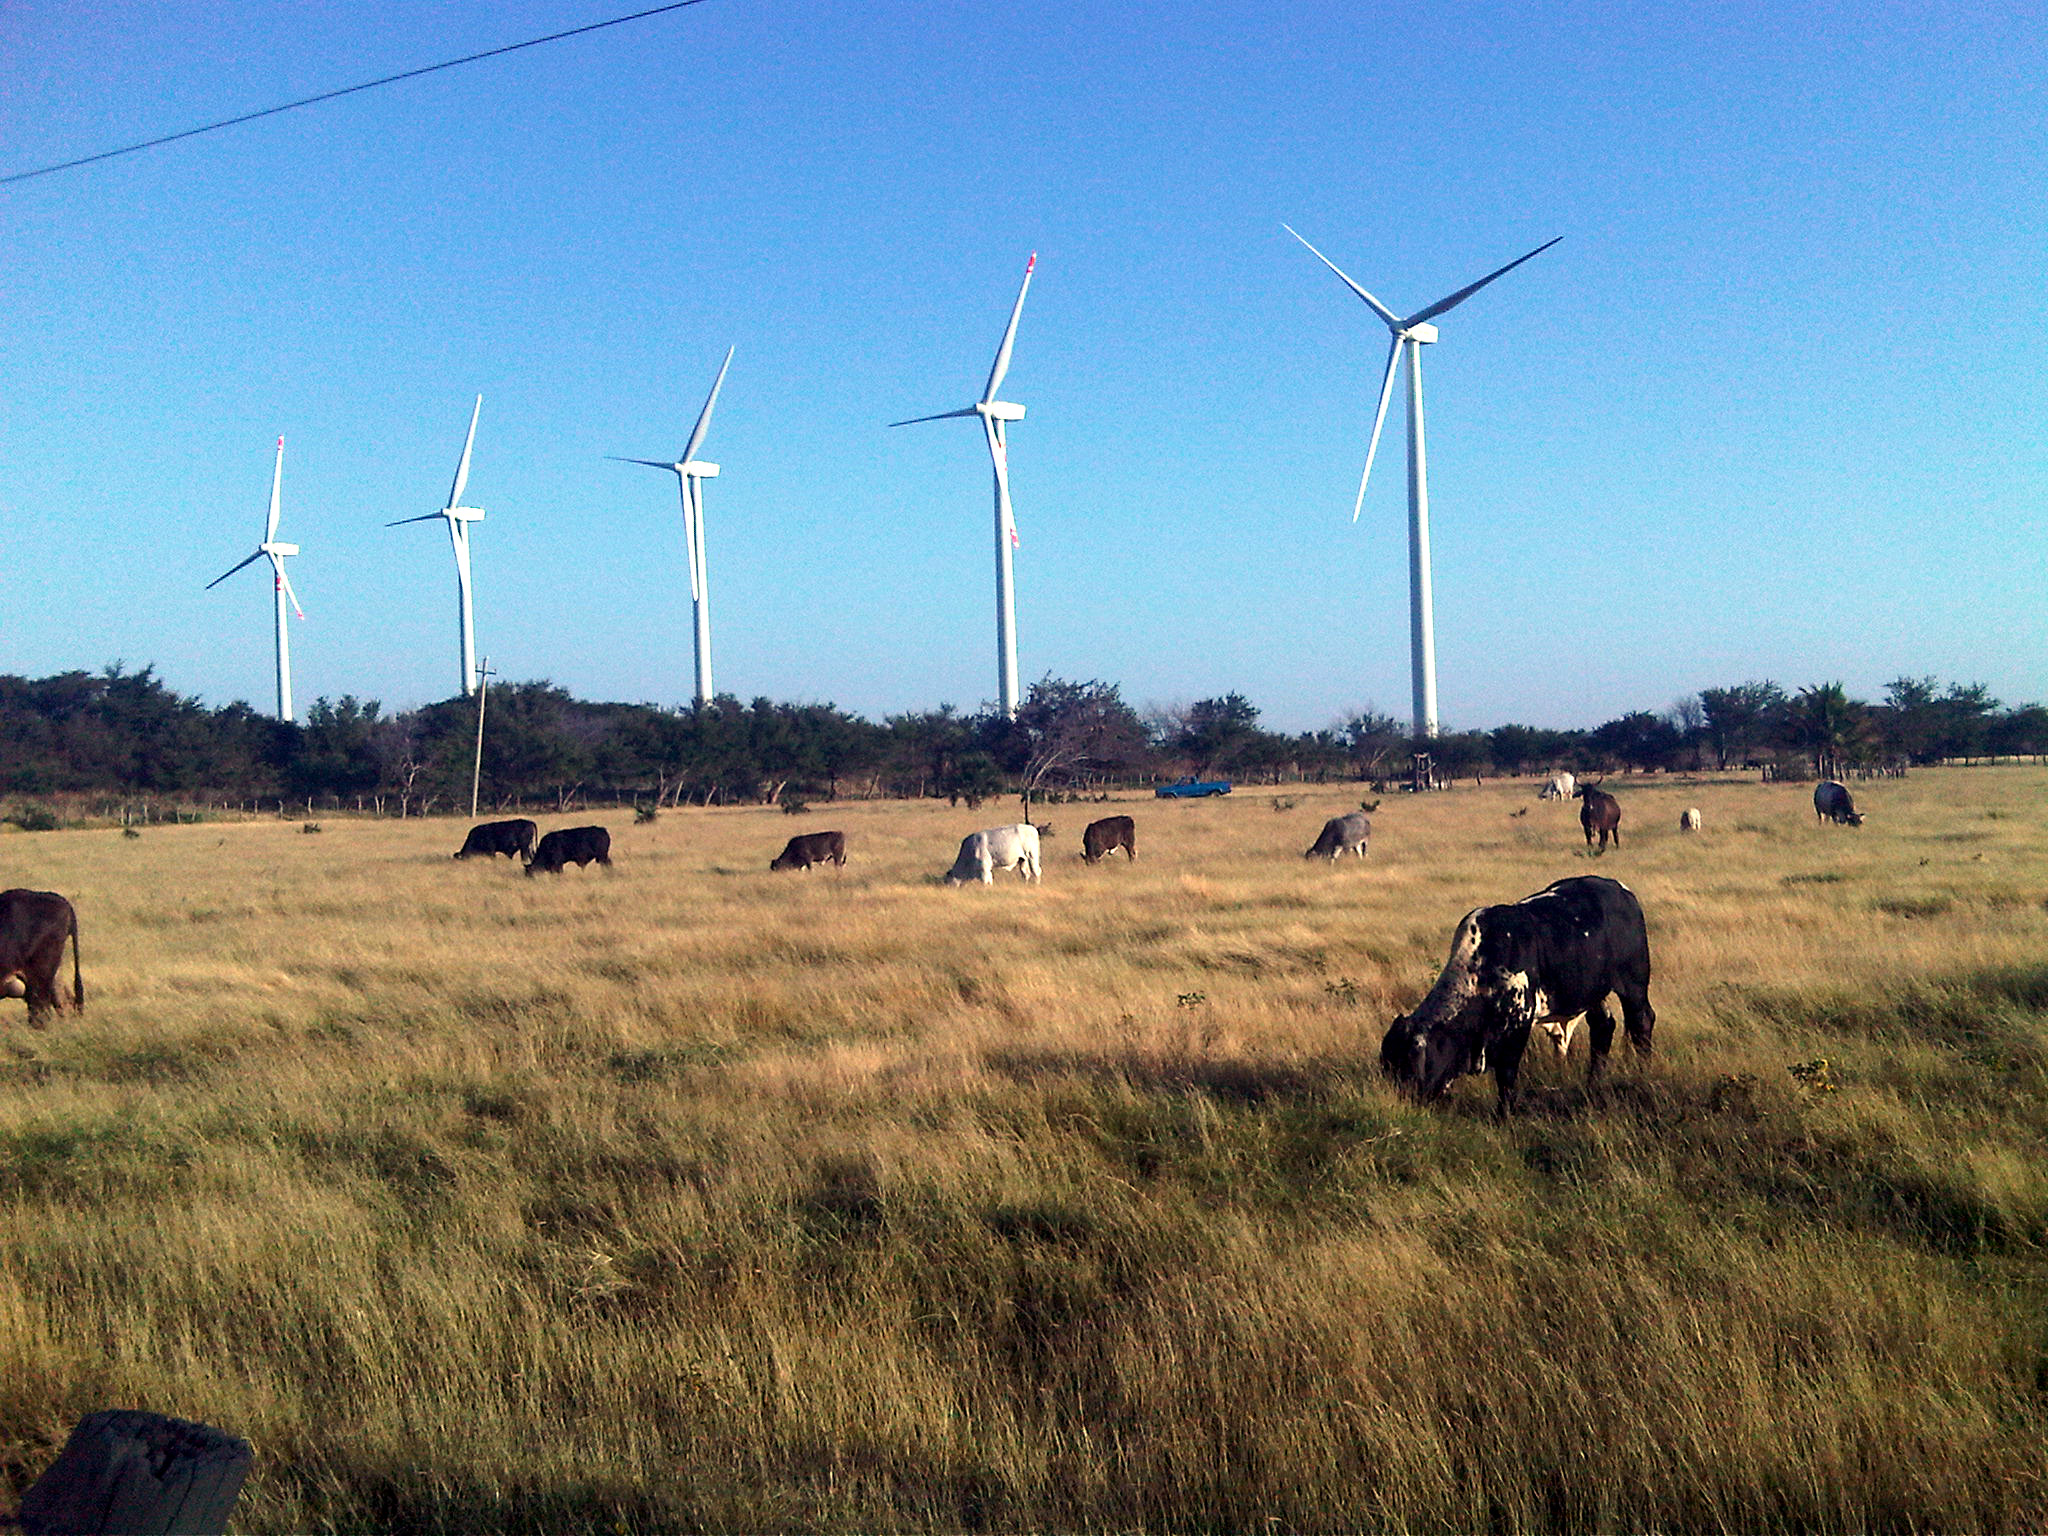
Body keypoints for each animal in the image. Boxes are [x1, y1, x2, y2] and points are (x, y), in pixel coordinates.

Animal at [1376, 876, 1646, 1122]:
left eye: (1407, 1067)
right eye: (1387, 1065)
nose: (1398, 1102)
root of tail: (1620, 890)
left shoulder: (1519, 1024)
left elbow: (1506, 1074)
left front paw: (1503, 1114)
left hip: (1634, 984)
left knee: (1642, 1023)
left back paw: (1642, 1069)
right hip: (1593, 993)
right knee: (1602, 1028)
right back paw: (1593, 1083)